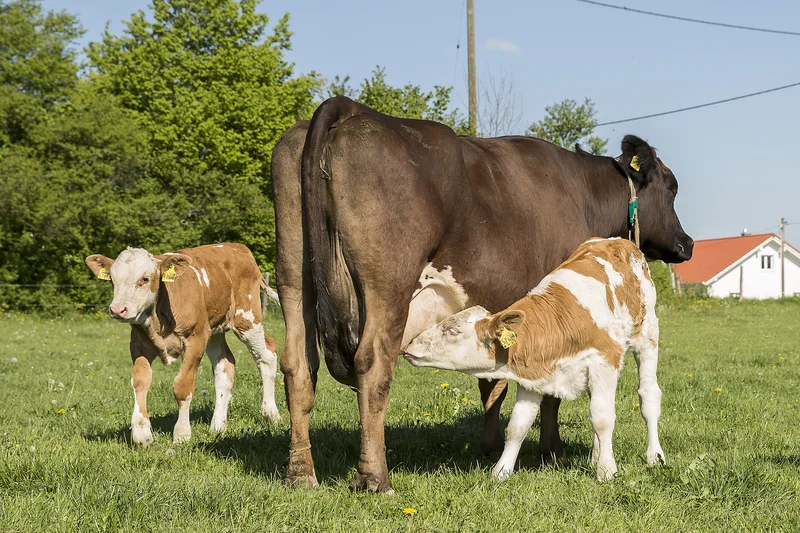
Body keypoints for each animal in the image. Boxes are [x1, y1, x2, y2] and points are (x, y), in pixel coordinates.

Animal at [85, 243, 281, 446]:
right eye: (113, 280)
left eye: (144, 279)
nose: (117, 310)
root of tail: (237, 246)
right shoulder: (138, 344)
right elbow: (140, 382)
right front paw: (141, 433)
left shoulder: (195, 339)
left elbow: (182, 387)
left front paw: (182, 434)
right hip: (213, 329)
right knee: (225, 365)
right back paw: (218, 426)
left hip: (247, 319)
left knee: (267, 355)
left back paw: (270, 414)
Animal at [403, 238, 664, 481]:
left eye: (452, 331)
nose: (410, 344)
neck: (559, 324)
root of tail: (620, 241)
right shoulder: (532, 377)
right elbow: (518, 426)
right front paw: (501, 472)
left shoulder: (605, 362)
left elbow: (602, 418)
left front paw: (607, 470)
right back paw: (594, 455)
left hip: (648, 337)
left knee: (648, 396)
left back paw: (654, 456)